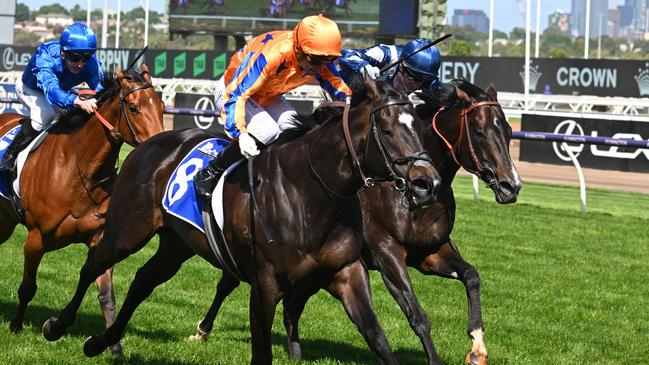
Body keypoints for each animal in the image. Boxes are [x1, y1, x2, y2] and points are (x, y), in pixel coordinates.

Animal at [0, 64, 165, 348]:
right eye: (133, 108)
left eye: (163, 106)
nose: (160, 146)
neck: (79, 171)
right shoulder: (36, 238)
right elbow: (27, 288)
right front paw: (16, 325)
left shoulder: (100, 238)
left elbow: (106, 294)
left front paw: (113, 346)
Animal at [41, 76, 440, 362]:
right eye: (387, 129)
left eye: (420, 128)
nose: (429, 184)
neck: (309, 194)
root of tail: (149, 142)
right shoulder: (265, 283)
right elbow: (261, 352)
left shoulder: (346, 272)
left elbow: (378, 338)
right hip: (128, 229)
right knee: (94, 265)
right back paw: (57, 325)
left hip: (176, 243)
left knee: (143, 280)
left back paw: (101, 342)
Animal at [190, 79, 520, 364]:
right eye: (479, 131)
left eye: (507, 131)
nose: (512, 186)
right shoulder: (387, 252)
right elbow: (417, 315)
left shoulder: (429, 252)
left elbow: (471, 275)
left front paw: (477, 348)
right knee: (229, 283)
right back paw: (202, 330)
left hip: (314, 273)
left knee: (291, 305)